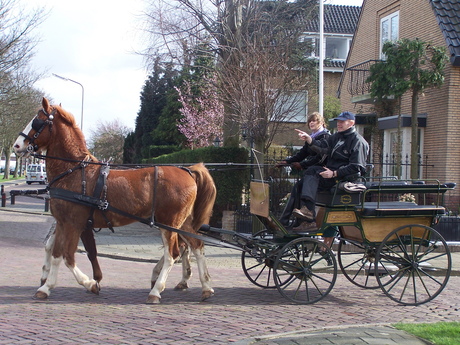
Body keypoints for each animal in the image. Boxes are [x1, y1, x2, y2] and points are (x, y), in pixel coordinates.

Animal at [12, 96, 217, 300]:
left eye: (37, 121)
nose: (16, 145)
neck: (74, 171)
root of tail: (188, 171)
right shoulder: (63, 222)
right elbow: (53, 251)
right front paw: (46, 284)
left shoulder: (73, 223)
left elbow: (67, 256)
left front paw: (88, 284)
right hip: (182, 222)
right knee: (197, 246)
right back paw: (206, 286)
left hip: (169, 224)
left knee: (172, 254)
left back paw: (156, 291)